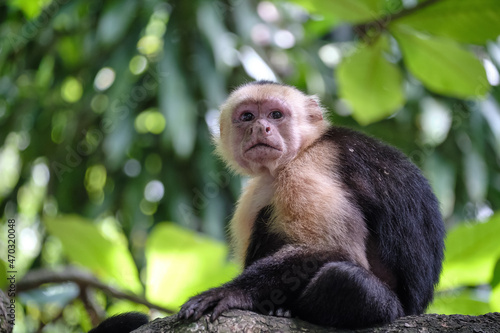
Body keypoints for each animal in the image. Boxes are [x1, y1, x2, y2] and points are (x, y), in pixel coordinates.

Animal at [91, 80, 446, 330]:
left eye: (276, 114)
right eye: (247, 116)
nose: (261, 127)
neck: (304, 149)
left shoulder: (310, 167)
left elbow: (333, 249)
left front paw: (231, 294)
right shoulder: (256, 190)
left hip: (393, 310)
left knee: (345, 280)